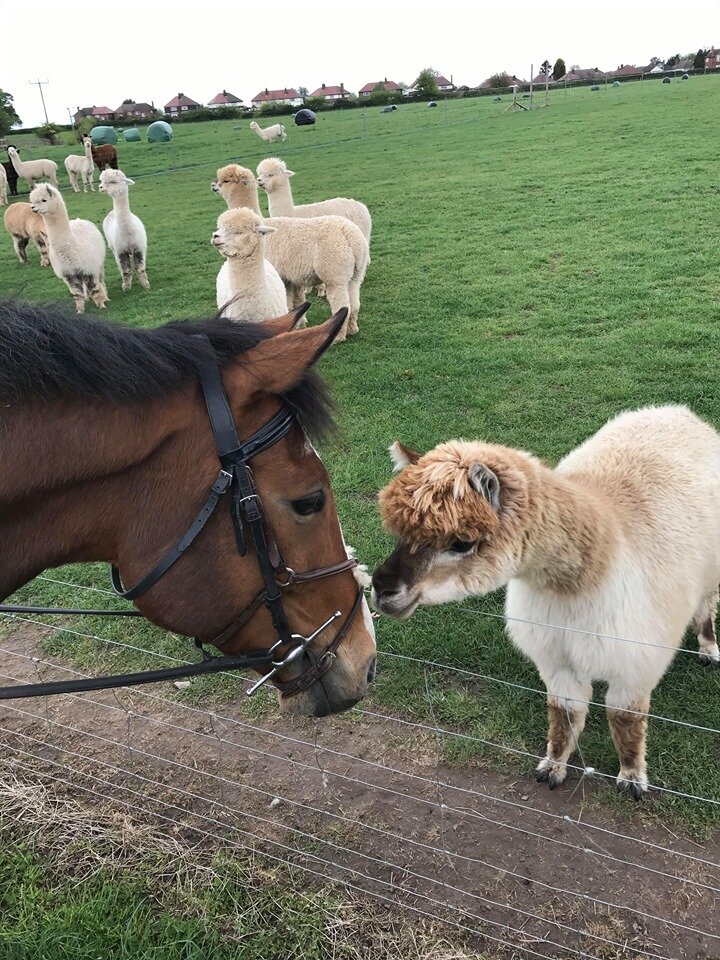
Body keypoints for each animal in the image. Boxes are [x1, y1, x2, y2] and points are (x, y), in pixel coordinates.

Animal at [29, 183, 107, 312]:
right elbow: (77, 294)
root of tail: (78, 220)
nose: (33, 208)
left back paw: (105, 297)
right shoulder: (69, 273)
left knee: (100, 280)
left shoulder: (89, 269)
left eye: (44, 200)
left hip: (98, 263)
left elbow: (95, 289)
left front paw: (101, 305)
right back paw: (88, 298)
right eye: (32, 200)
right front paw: (80, 311)